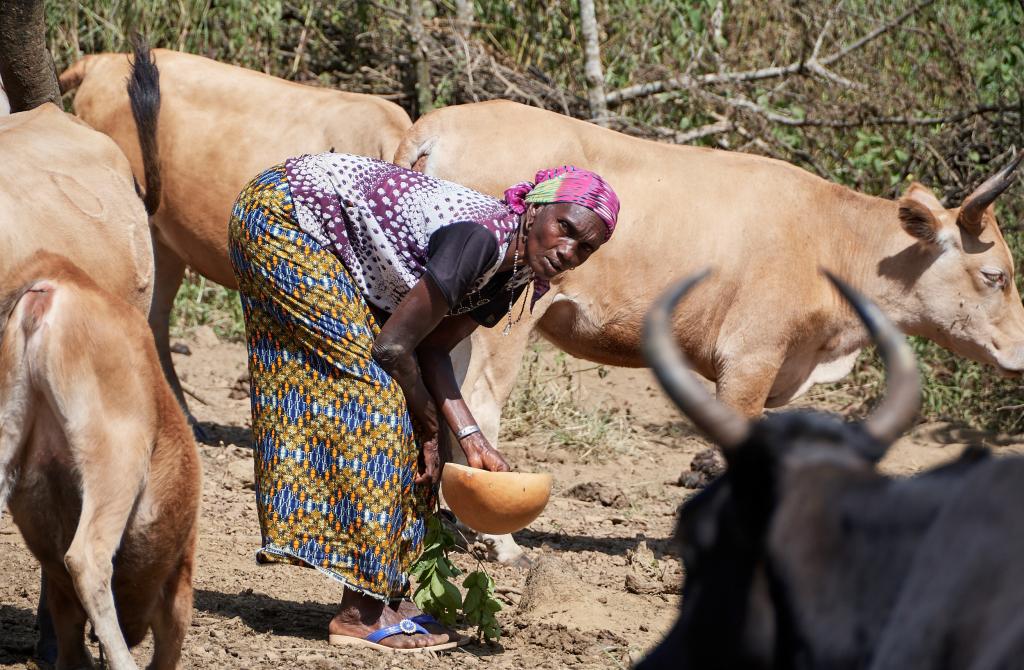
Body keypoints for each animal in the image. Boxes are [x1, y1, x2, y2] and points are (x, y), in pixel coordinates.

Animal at [395, 100, 1024, 561]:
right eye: (995, 275)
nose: (1020, 352)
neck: (828, 237)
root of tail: (435, 123)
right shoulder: (750, 360)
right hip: (503, 322)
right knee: (480, 403)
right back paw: (502, 544)